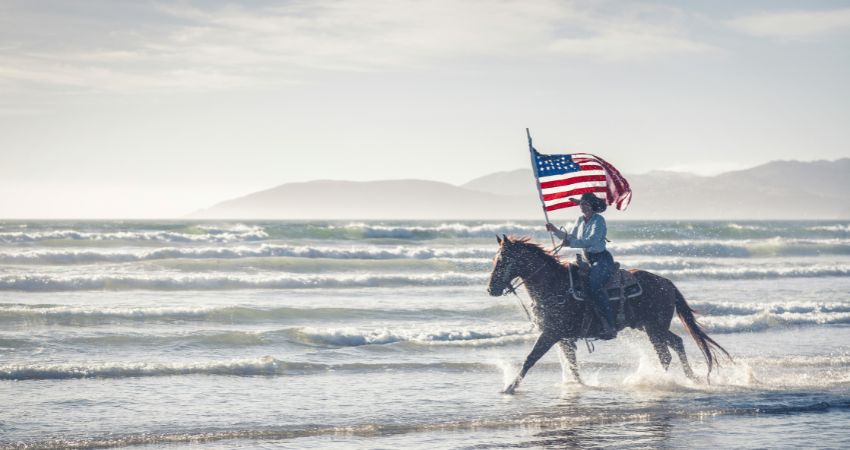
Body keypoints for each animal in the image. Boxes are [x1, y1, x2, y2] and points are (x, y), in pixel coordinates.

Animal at [486, 236, 724, 394]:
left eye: (502, 260)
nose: (491, 289)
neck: (553, 286)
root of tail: (666, 282)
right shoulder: (562, 336)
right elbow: (571, 364)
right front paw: (579, 384)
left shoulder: (552, 333)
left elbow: (531, 358)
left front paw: (509, 387)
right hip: (651, 327)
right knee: (676, 343)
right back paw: (689, 377)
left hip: (655, 327)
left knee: (666, 352)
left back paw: (661, 380)